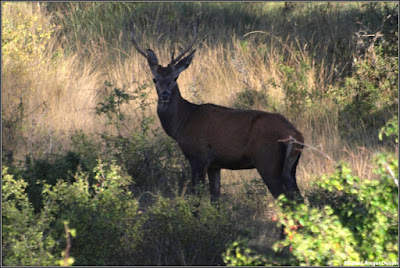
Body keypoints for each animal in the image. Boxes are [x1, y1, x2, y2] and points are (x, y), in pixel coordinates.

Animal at [130, 21, 304, 203]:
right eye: (155, 79)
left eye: (175, 78)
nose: (164, 94)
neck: (183, 122)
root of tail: (296, 135)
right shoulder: (215, 165)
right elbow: (215, 199)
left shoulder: (199, 156)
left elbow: (196, 197)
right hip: (289, 169)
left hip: (267, 162)